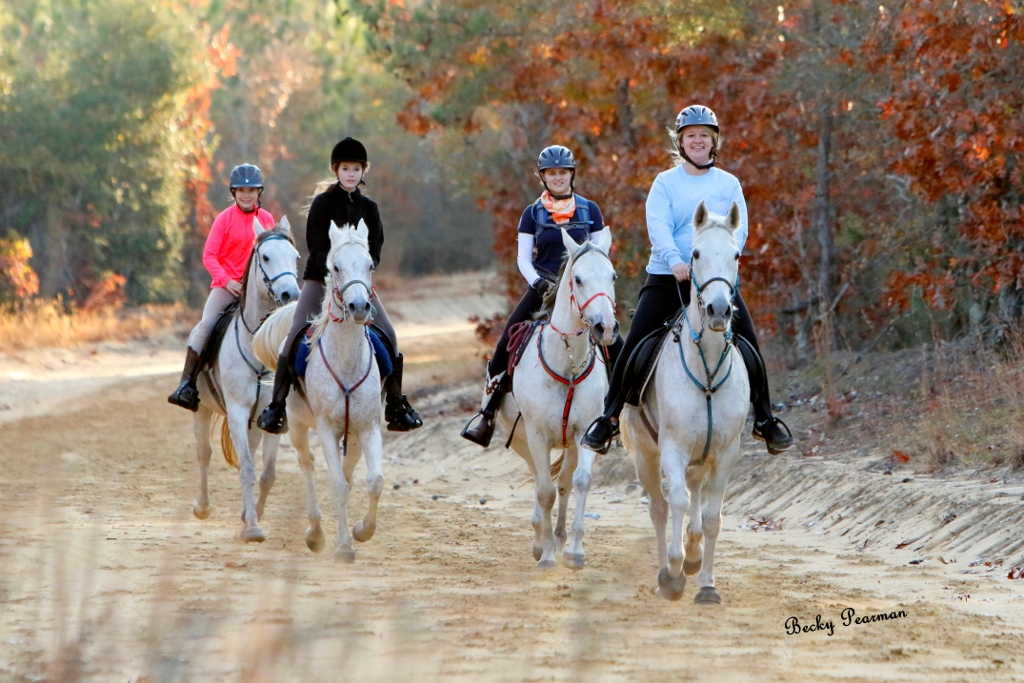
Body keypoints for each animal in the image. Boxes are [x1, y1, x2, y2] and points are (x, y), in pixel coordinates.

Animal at [192, 219, 299, 544]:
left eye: (295, 256)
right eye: (265, 257)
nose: (291, 294)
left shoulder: (271, 417)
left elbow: (266, 473)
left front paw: (251, 517)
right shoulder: (238, 412)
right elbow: (248, 469)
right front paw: (252, 527)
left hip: (253, 422)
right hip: (202, 409)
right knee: (204, 454)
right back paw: (202, 507)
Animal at [253, 222, 385, 565]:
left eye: (370, 265)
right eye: (335, 267)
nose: (358, 307)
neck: (347, 361)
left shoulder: (367, 428)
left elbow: (373, 481)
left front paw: (363, 530)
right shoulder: (326, 428)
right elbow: (338, 485)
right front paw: (343, 547)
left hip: (351, 436)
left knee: (348, 471)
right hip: (298, 426)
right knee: (307, 463)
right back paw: (314, 533)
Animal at [495, 227, 614, 569]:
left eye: (612, 276)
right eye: (578, 279)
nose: (605, 327)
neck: (568, 365)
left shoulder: (586, 431)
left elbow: (580, 481)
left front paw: (574, 551)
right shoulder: (536, 435)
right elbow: (545, 491)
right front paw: (546, 555)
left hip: (569, 443)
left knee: (563, 481)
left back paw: (560, 538)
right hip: (522, 441)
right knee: (540, 481)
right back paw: (540, 540)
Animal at [618, 201, 749, 602]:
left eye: (736, 255)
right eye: (695, 254)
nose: (719, 311)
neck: (706, 370)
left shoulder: (726, 453)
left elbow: (711, 517)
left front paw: (706, 583)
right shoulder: (672, 448)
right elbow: (674, 503)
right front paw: (673, 574)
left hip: (700, 456)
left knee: (692, 496)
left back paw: (692, 555)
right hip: (646, 456)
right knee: (660, 508)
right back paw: (668, 568)